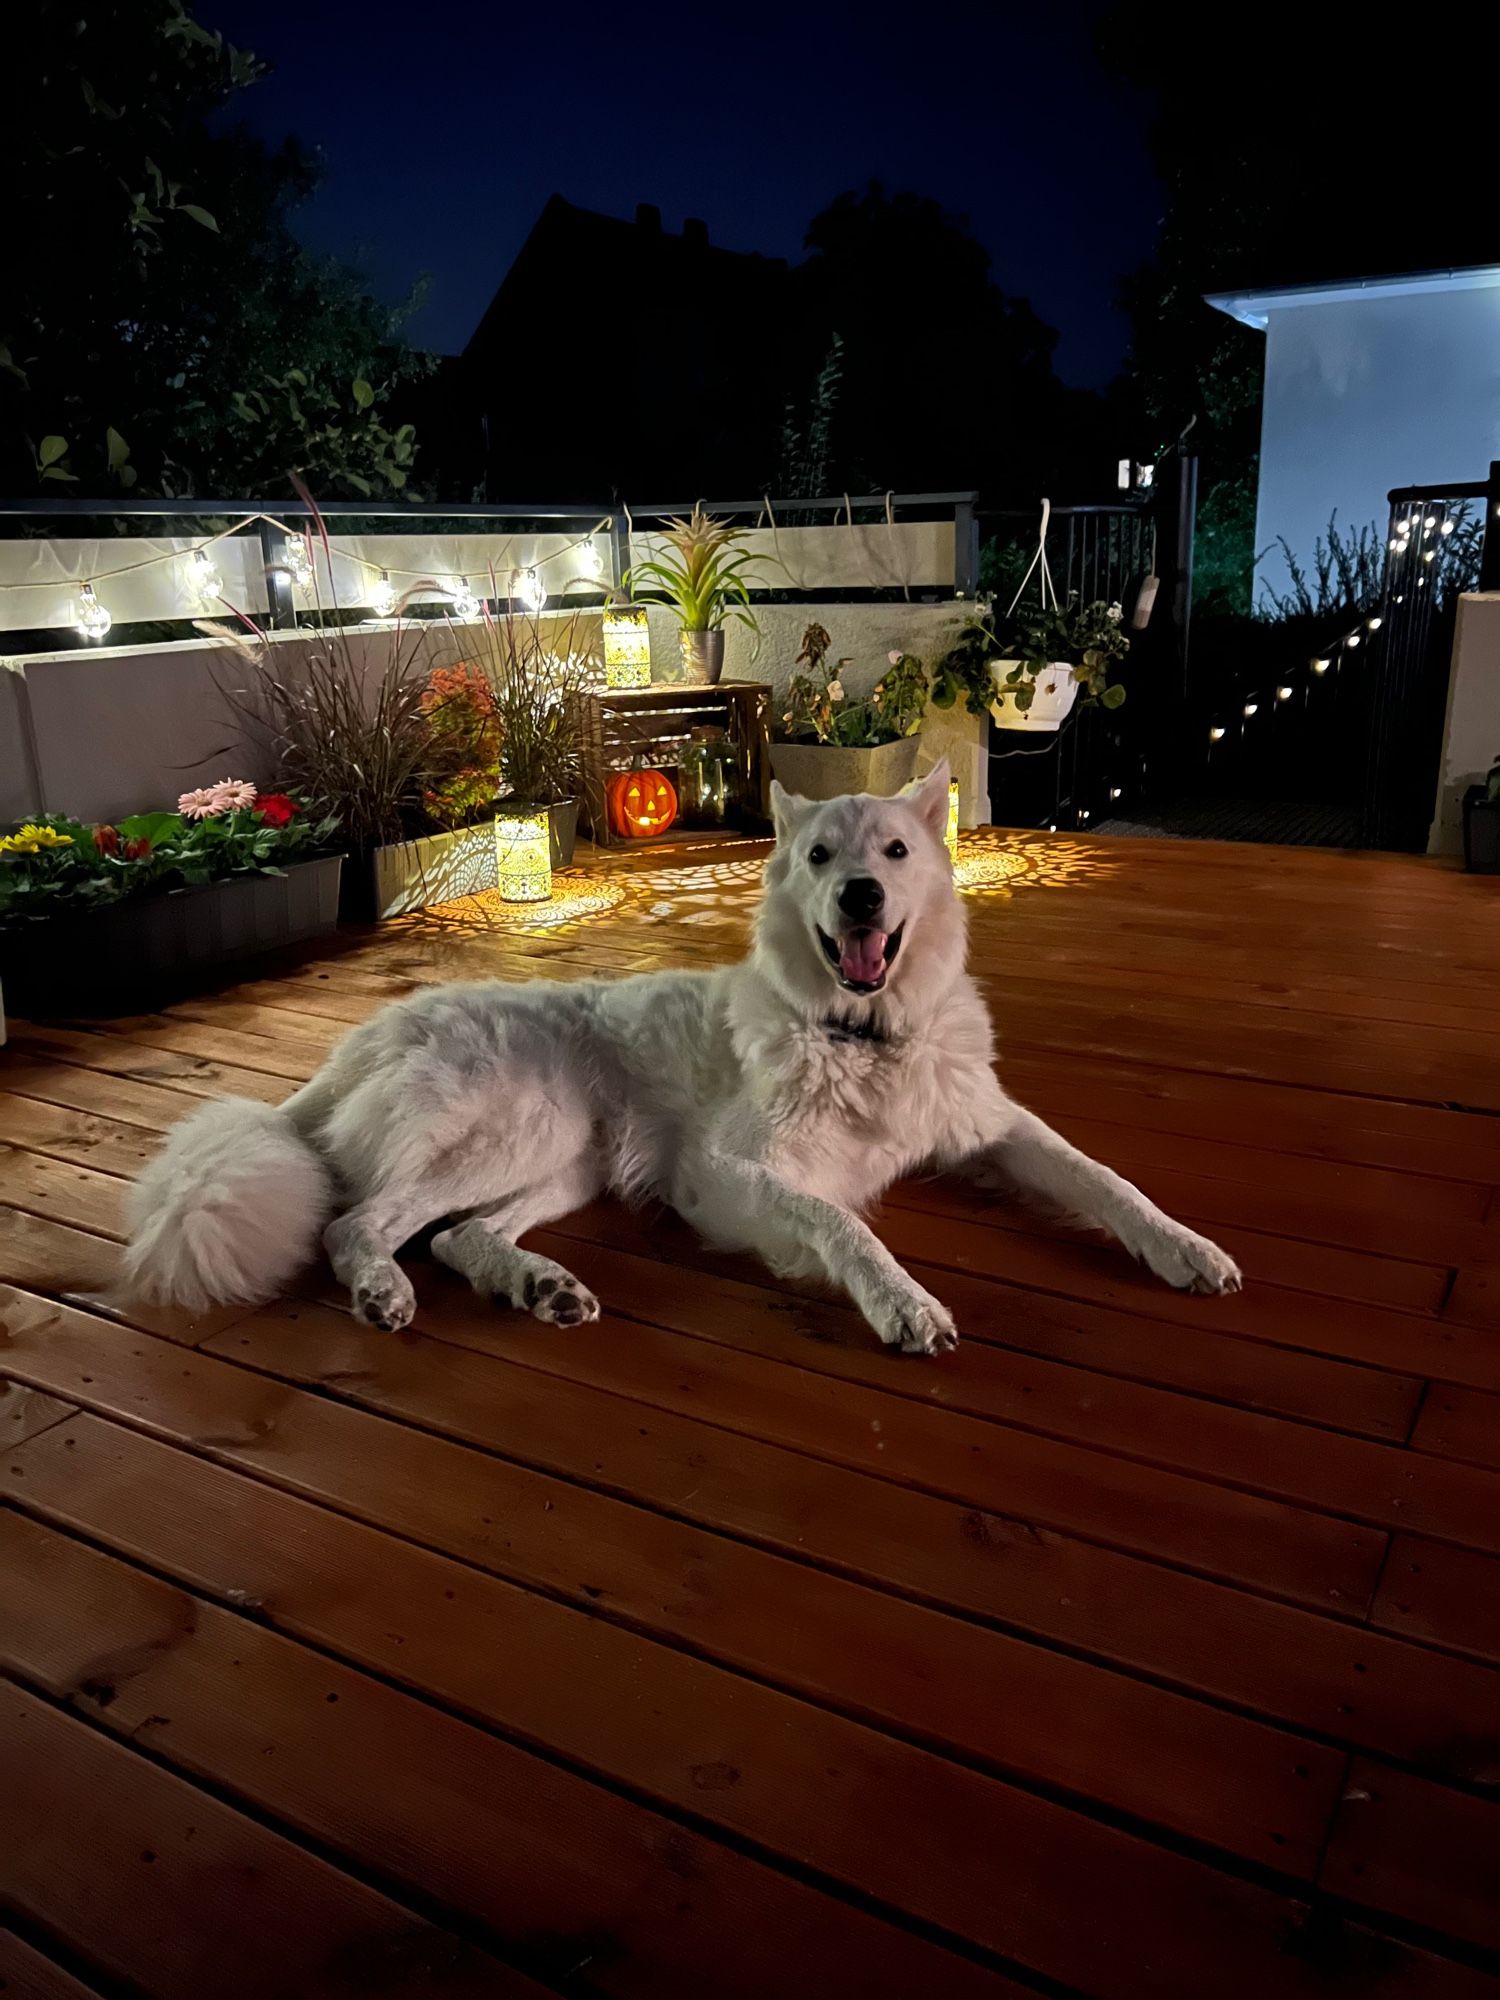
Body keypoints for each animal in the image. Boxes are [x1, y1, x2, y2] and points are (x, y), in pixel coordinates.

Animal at [123, 756, 1240, 1352]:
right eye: (818, 857)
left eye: (895, 852)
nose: (860, 897)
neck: (859, 1034)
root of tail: (349, 1050)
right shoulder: (731, 1173)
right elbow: (840, 1222)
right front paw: (902, 1301)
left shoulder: (991, 1125)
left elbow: (1104, 1179)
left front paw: (1187, 1248)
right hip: (526, 1126)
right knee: (360, 1223)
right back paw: (383, 1290)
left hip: (566, 1160)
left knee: (455, 1237)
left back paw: (537, 1284)